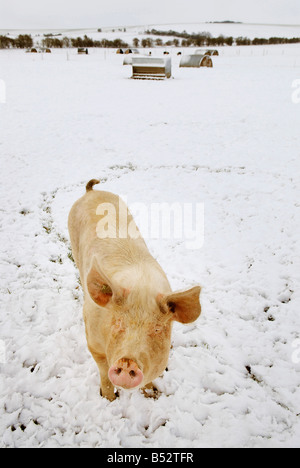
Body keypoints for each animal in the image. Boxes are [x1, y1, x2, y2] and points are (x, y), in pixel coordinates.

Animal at [68, 181, 202, 400]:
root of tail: (90, 191)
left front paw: (151, 395)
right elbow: (103, 371)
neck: (141, 287)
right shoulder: (93, 343)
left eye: (157, 329)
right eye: (118, 323)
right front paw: (108, 399)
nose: (127, 362)